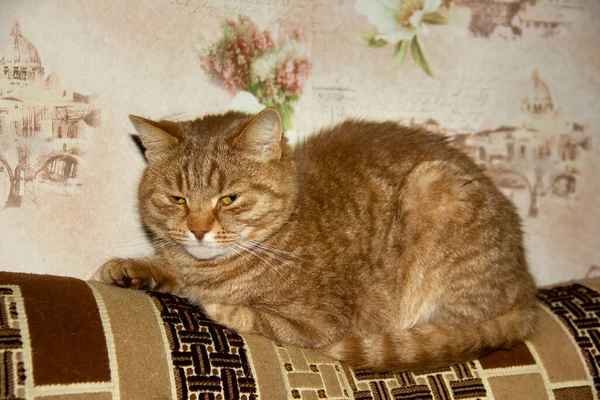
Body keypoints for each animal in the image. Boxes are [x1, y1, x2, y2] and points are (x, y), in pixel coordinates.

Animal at [99, 107, 540, 372]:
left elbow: (251, 315)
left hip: (434, 189)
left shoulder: (319, 324)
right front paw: (133, 269)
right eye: (177, 199)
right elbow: (167, 268)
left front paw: (216, 303)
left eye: (229, 199)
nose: (198, 229)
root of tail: (528, 288)